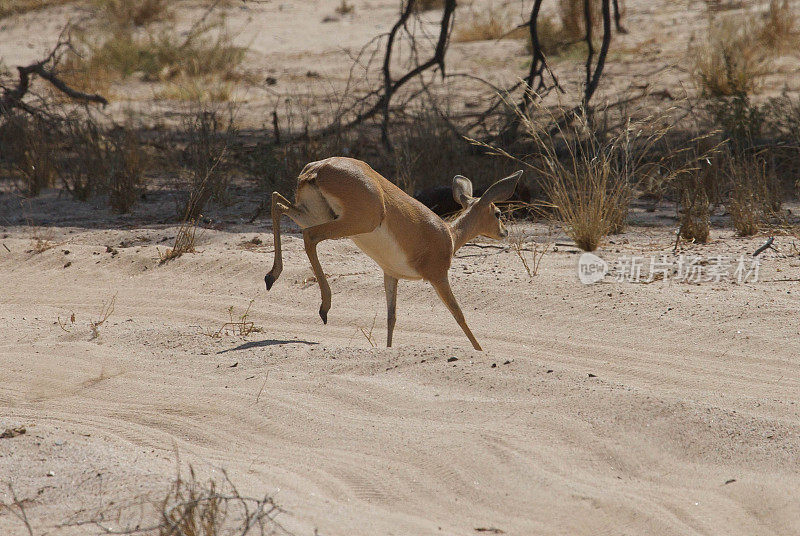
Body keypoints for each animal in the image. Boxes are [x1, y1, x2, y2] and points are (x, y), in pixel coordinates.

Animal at [266, 156, 520, 352]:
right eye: (497, 213)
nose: (504, 232)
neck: (449, 236)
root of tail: (318, 168)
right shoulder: (438, 276)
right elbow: (459, 314)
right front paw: (480, 350)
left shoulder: (391, 275)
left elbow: (391, 317)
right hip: (351, 222)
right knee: (309, 236)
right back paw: (323, 307)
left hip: (316, 214)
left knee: (277, 201)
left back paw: (271, 277)